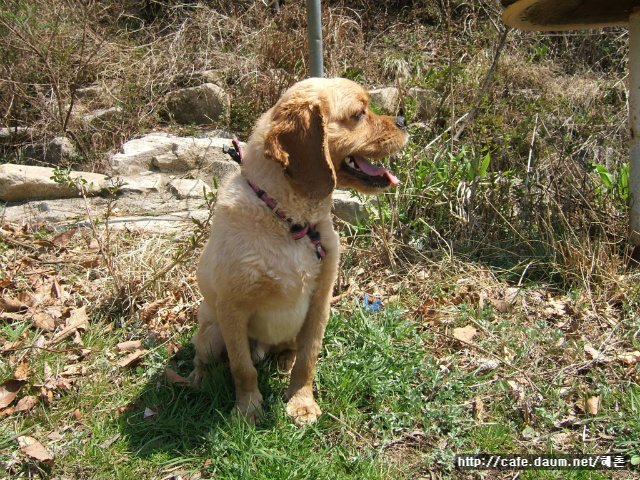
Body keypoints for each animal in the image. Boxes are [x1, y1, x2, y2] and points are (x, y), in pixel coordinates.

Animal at [190, 77, 408, 426]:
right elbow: (242, 368)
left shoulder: (320, 302)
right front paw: (247, 410)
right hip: (210, 333)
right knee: (205, 356)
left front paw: (301, 402)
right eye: (358, 114)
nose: (403, 121)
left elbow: (308, 359)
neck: (291, 222)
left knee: (289, 351)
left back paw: (283, 361)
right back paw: (199, 377)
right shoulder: (231, 308)